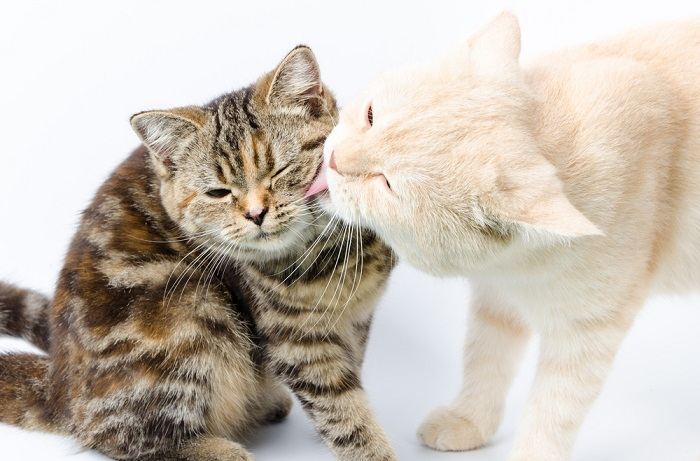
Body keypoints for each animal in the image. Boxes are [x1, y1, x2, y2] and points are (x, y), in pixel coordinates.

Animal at [0, 45, 394, 458]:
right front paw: (372, 449)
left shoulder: (359, 321)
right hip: (192, 310)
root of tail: (58, 389)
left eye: (279, 170)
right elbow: (340, 406)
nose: (256, 213)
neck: (325, 255)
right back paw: (220, 447)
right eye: (218, 192)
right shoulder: (296, 337)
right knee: (116, 434)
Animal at [308, 12, 700, 460]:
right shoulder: (497, 297)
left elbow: (555, 406)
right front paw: (469, 420)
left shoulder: (588, 328)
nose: (334, 160)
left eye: (387, 184)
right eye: (371, 115)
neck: (520, 264)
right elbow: (485, 358)